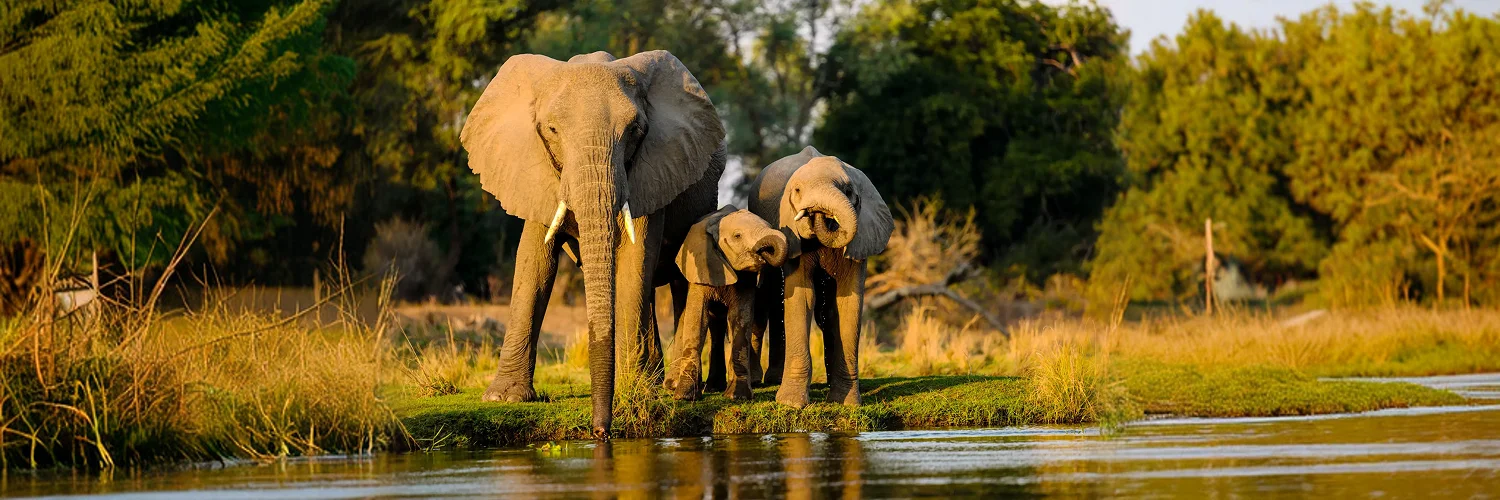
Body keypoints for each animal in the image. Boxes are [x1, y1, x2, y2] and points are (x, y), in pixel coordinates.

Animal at [459, 50, 725, 438]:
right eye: (552, 130)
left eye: (635, 131)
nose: (600, 432)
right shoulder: (534, 171)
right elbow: (534, 263)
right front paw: (503, 399)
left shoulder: (651, 170)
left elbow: (634, 258)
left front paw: (633, 390)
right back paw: (655, 379)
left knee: (679, 282)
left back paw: (679, 387)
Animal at [664, 206, 792, 401]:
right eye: (737, 236)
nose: (764, 251)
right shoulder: (701, 267)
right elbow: (697, 318)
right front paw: (685, 397)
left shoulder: (746, 279)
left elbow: (740, 318)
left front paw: (737, 396)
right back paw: (683, 386)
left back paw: (715, 387)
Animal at [747, 146, 892, 408]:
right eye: (797, 191)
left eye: (848, 191)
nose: (817, 212)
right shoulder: (792, 234)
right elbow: (801, 296)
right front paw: (791, 404)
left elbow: (848, 303)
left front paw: (847, 403)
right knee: (768, 297)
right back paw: (763, 380)